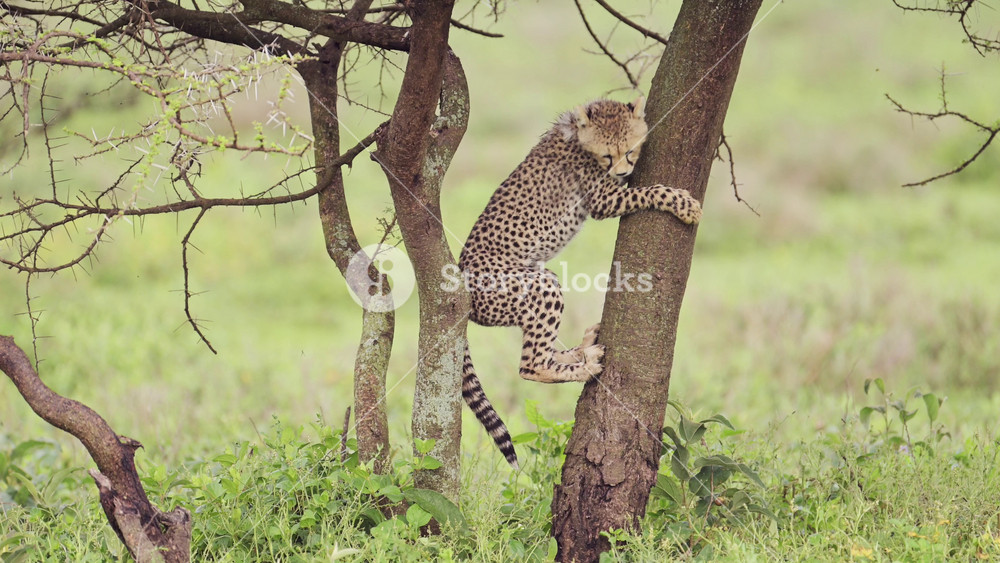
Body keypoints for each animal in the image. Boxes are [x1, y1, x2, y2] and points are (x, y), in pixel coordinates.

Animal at [457, 97, 702, 469]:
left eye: (630, 150)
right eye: (606, 156)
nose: (622, 172)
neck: (580, 137)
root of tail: (457, 280)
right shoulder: (603, 199)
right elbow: (650, 191)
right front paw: (685, 205)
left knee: (544, 348)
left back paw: (585, 349)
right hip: (536, 285)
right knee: (531, 364)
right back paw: (584, 367)